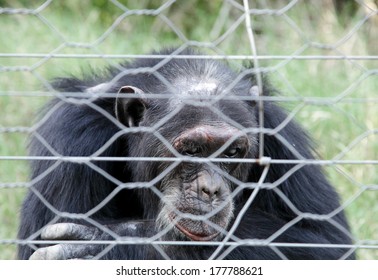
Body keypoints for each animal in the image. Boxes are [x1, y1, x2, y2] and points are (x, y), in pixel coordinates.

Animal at [17, 47, 354, 260]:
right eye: (191, 150)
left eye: (231, 152)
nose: (210, 188)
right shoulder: (73, 140)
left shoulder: (279, 134)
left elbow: (325, 242)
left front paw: (108, 245)